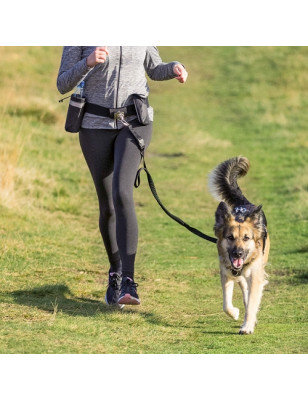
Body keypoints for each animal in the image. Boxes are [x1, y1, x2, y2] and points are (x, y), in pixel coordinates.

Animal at [209, 156, 270, 334]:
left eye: (246, 238)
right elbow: (226, 304)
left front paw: (247, 326)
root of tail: (244, 202)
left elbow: (252, 303)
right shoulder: (226, 274)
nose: (238, 254)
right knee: (244, 287)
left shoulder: (256, 275)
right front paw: (235, 313)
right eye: (230, 237)